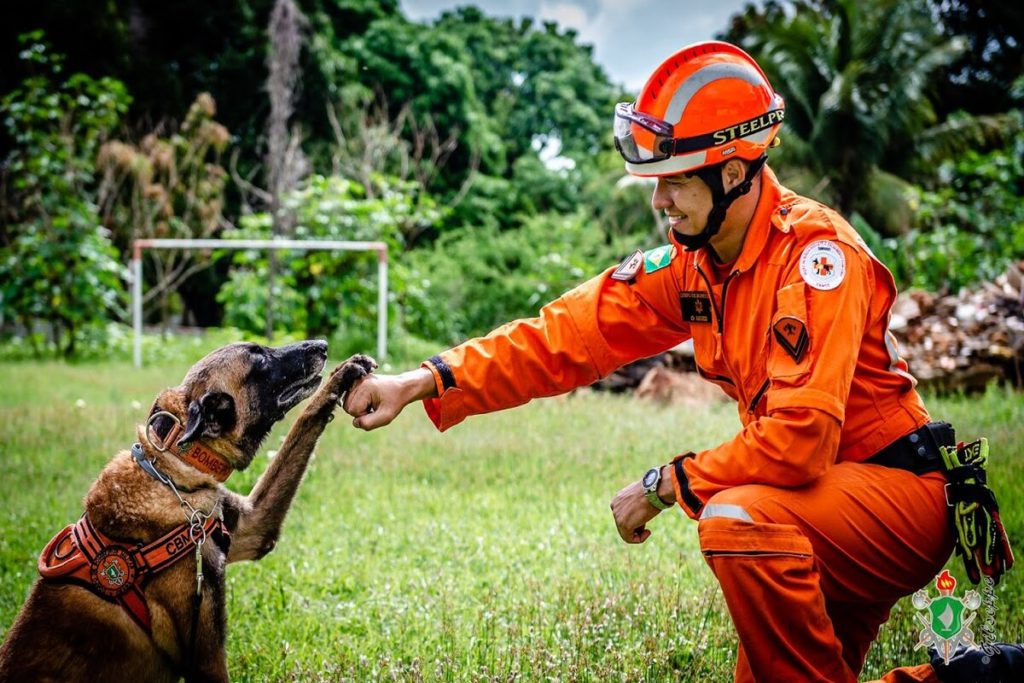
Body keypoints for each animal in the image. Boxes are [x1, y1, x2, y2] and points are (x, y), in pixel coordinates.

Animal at [0, 339, 376, 679]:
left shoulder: (253, 527)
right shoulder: (206, 657)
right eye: (259, 358)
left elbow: (304, 423)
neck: (171, 474)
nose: (323, 345)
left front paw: (342, 375)